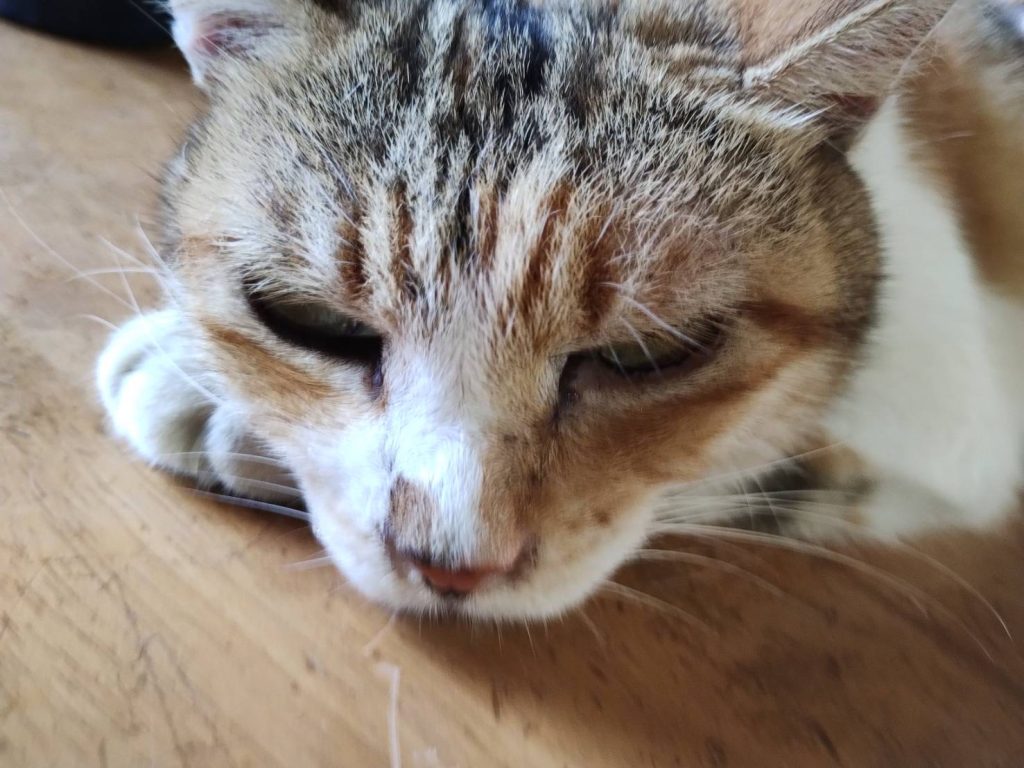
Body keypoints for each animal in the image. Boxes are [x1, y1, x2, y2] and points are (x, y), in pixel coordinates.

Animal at [96, 0, 1024, 619]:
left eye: (648, 354)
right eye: (310, 320)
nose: (453, 570)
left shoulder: (963, 425)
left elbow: (734, 465)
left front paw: (195, 395)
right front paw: (193, 367)